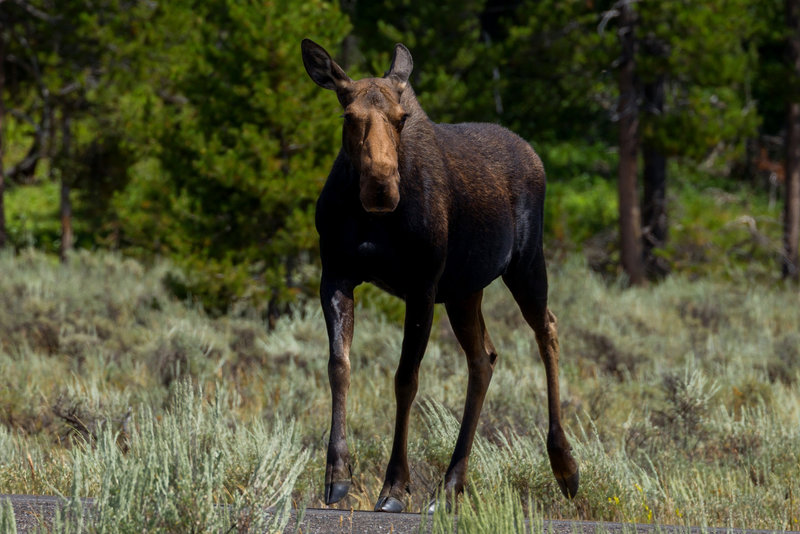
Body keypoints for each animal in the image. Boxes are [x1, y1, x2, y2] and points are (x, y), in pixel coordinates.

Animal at [304, 38, 580, 516]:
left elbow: (405, 379)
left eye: (401, 118)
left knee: (547, 328)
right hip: (465, 290)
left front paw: (395, 487)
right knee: (484, 359)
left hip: (526, 263)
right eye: (348, 116)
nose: (381, 188)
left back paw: (565, 466)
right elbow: (339, 364)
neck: (372, 221)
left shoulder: (422, 285)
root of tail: (535, 156)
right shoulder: (336, 275)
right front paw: (337, 476)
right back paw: (451, 486)